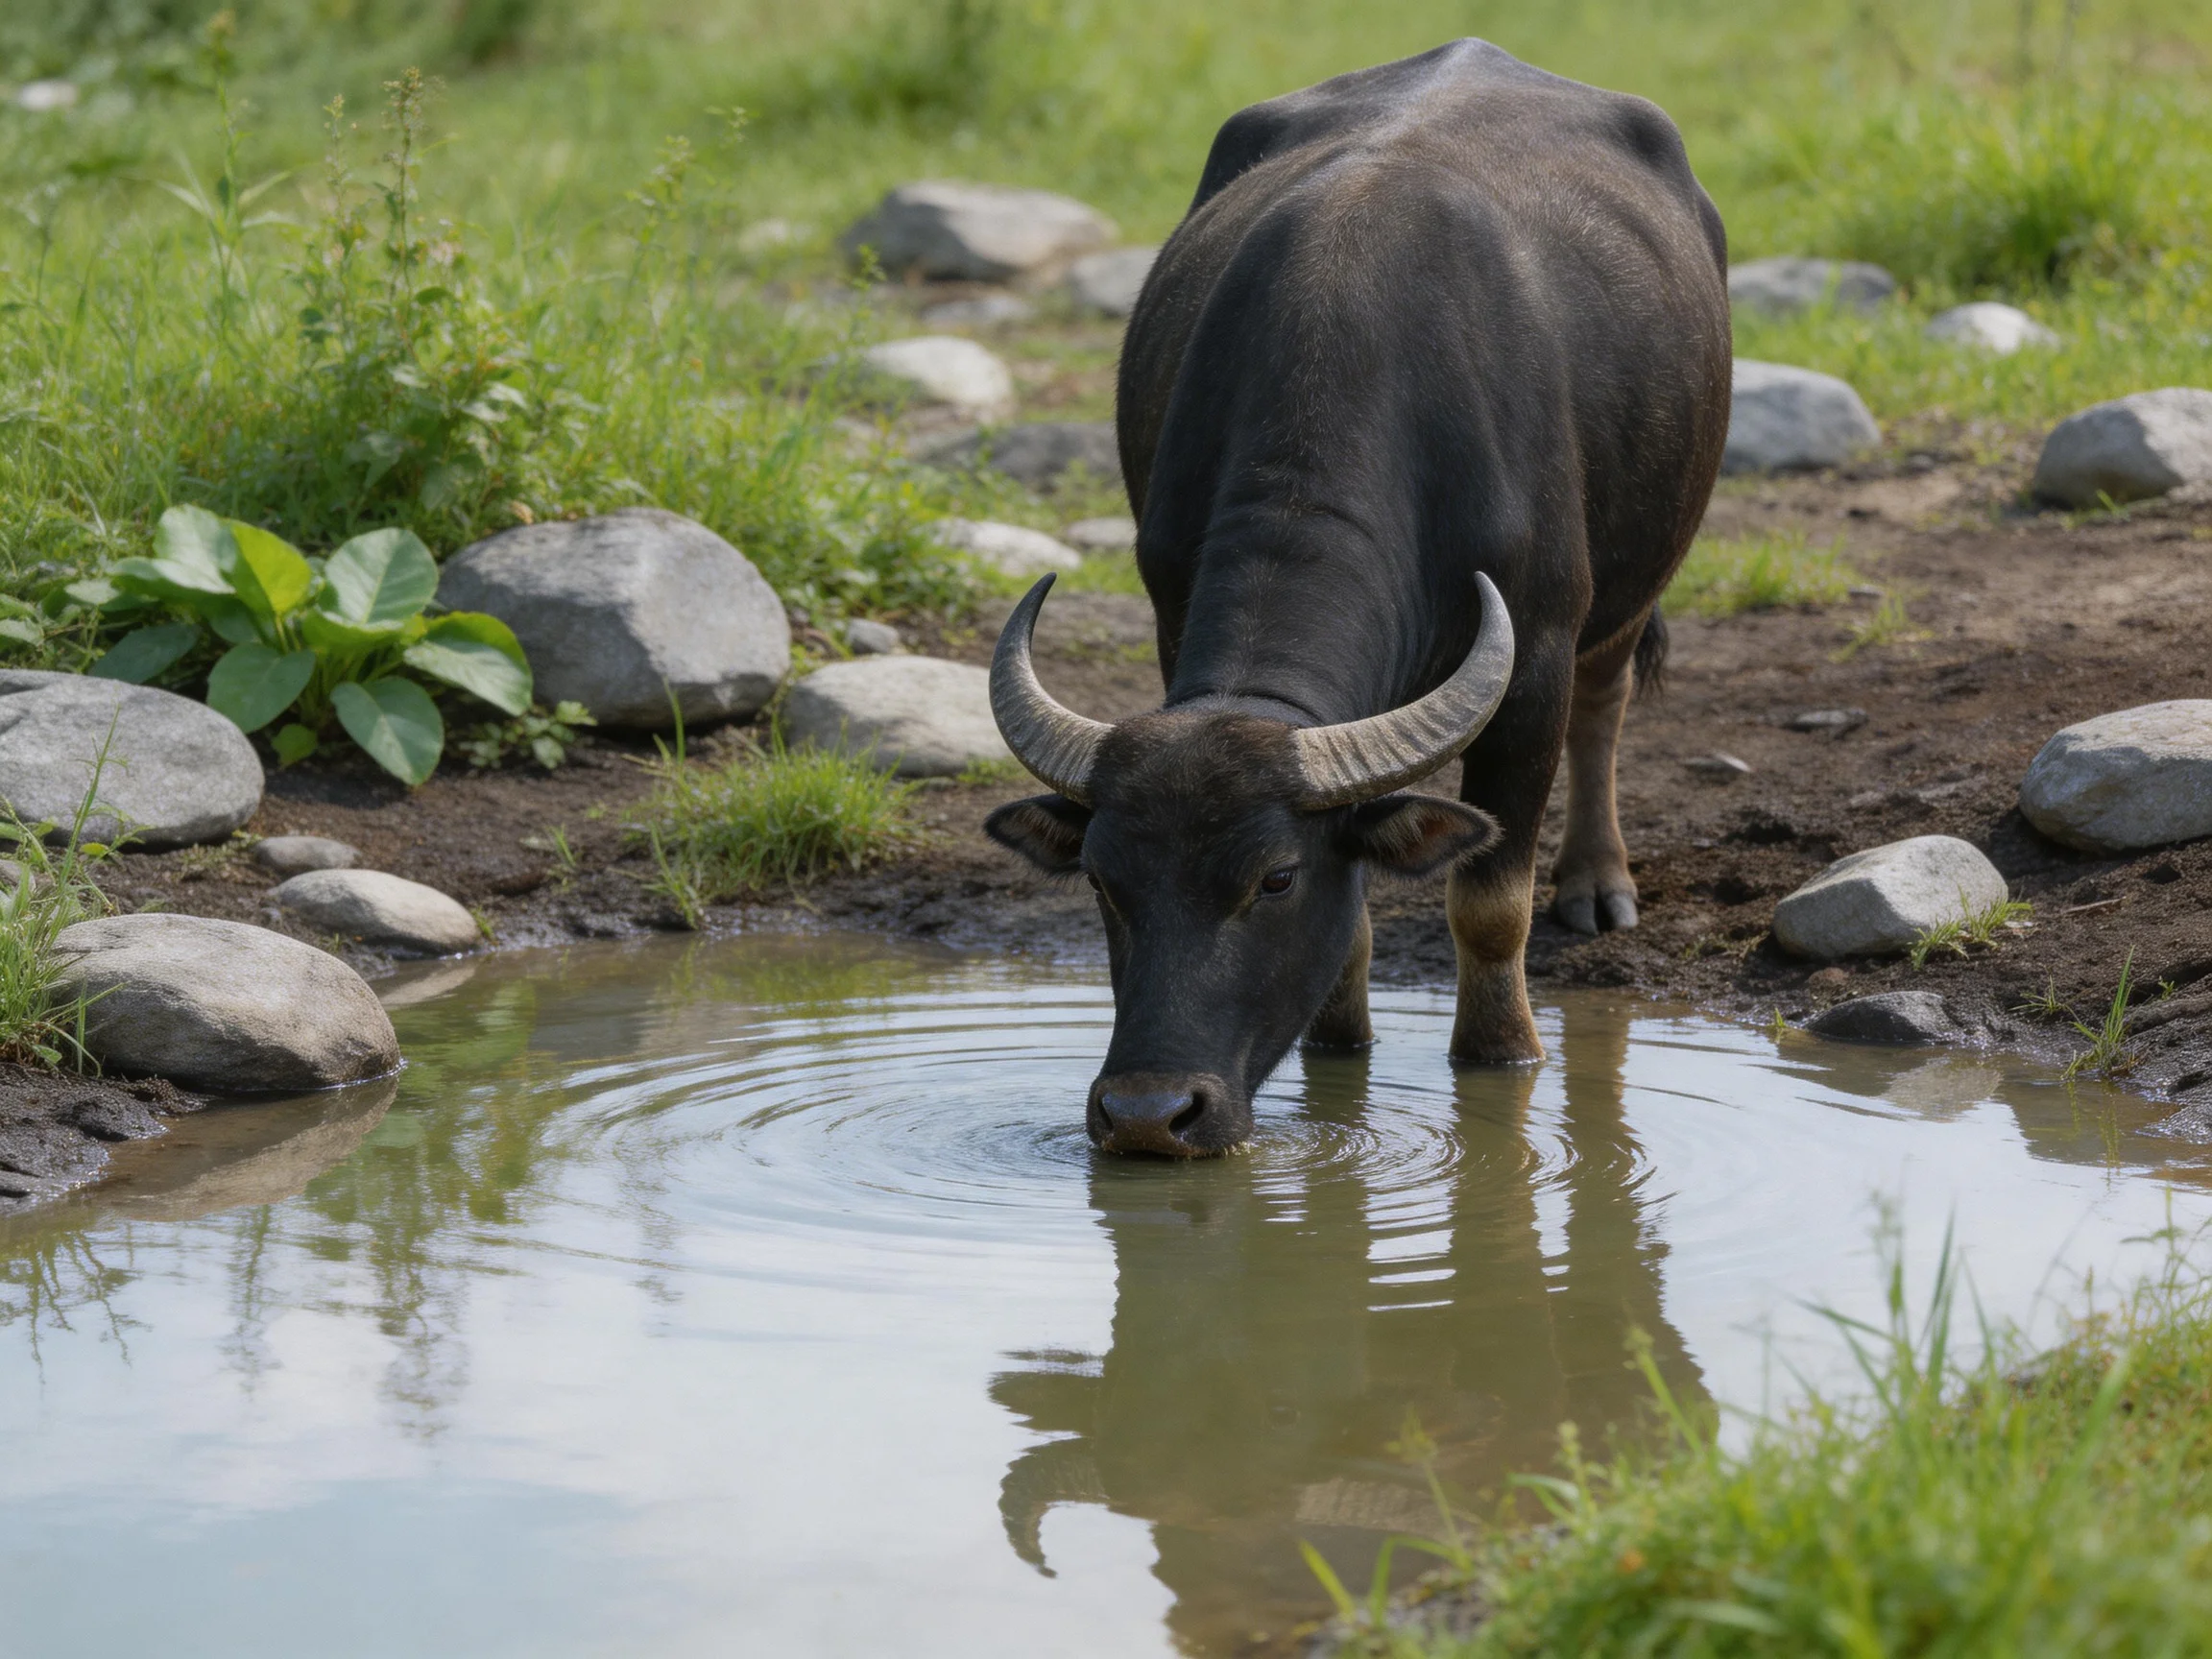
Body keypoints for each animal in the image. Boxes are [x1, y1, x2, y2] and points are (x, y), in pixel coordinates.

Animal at [987, 39, 1732, 1154]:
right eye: (1104, 880)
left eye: (1274, 878)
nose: (1148, 1114)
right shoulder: (1169, 611)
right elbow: (1356, 928)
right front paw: (1340, 1048)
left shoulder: (1534, 657)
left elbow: (1491, 902)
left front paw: (1502, 1053)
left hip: (1639, 573)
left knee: (1606, 703)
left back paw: (1597, 885)